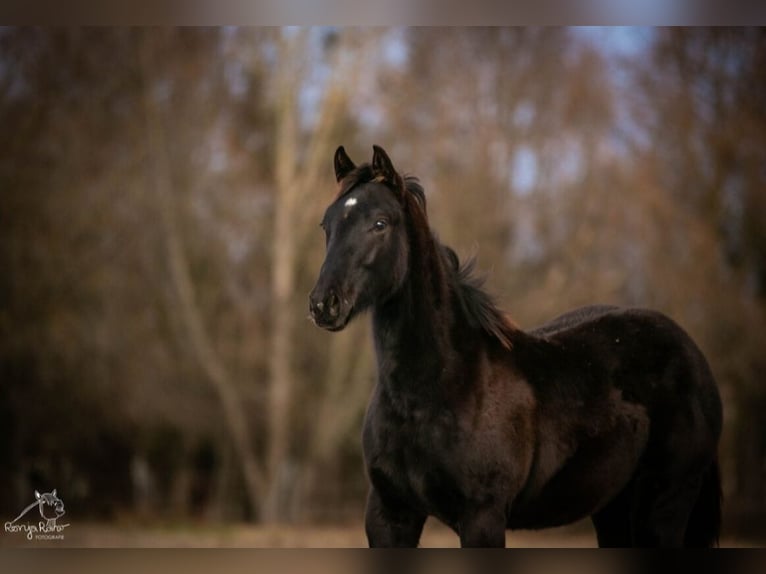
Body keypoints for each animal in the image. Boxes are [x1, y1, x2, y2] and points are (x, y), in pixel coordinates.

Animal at [308, 145, 723, 547]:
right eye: (327, 224)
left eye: (380, 223)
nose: (323, 305)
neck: (437, 390)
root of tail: (693, 354)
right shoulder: (389, 513)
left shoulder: (483, 517)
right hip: (612, 507)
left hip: (664, 502)